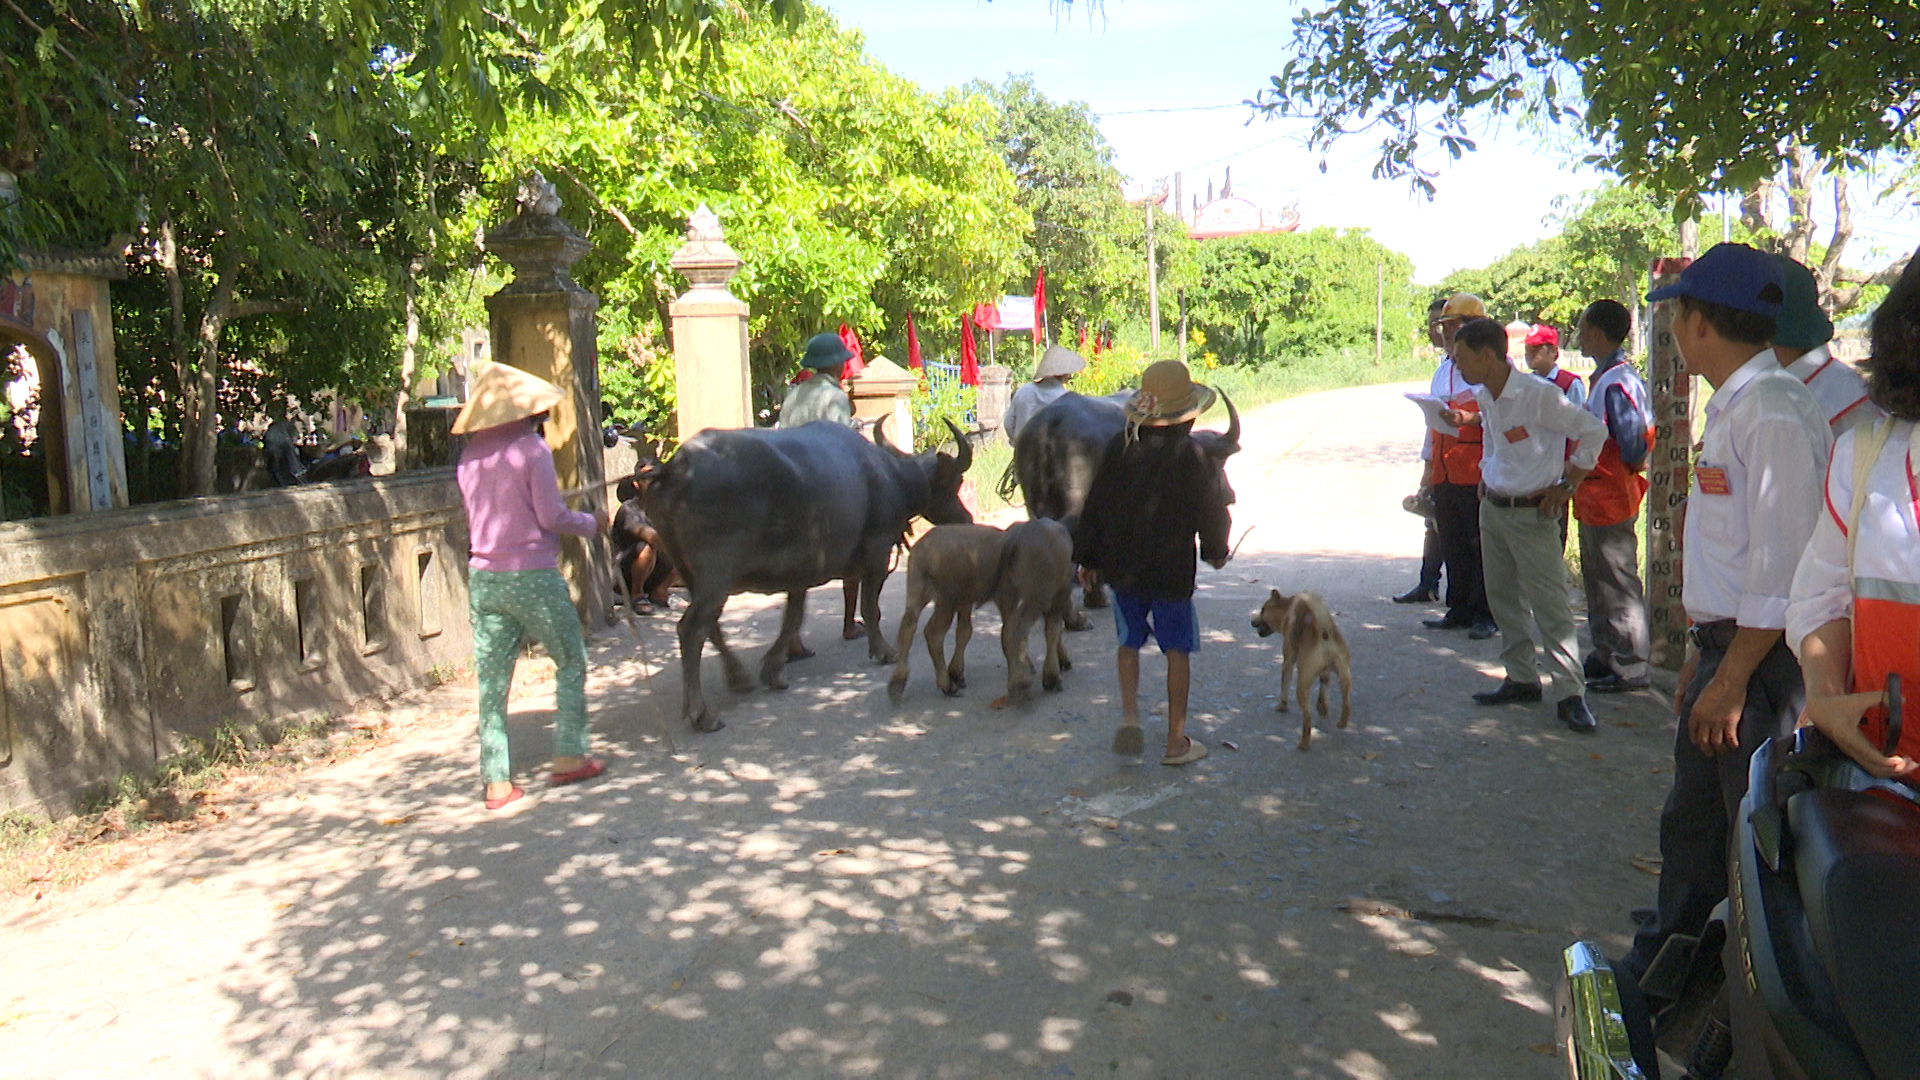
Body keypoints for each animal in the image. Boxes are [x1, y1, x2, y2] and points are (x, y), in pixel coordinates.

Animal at [644, 418, 974, 732]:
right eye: (955, 482)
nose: (967, 518)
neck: (891, 478)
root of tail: (676, 468)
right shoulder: (877, 555)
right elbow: (870, 607)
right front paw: (883, 651)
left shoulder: (802, 570)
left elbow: (794, 615)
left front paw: (775, 667)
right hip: (716, 578)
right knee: (691, 629)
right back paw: (703, 714)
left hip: (691, 574)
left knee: (709, 626)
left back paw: (738, 677)